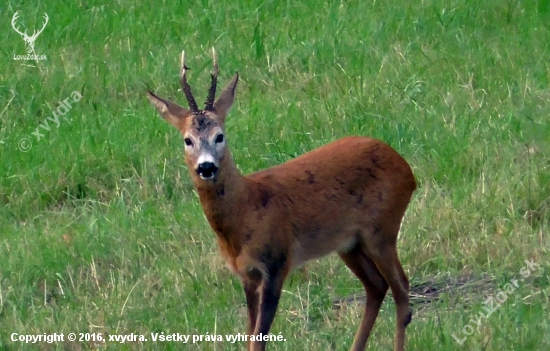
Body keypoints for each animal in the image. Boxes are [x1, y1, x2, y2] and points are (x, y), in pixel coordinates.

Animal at [147, 49, 418, 351]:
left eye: (220, 136)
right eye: (187, 140)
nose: (207, 167)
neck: (246, 210)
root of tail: (407, 170)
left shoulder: (276, 263)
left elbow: (259, 339)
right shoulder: (247, 274)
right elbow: (249, 336)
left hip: (382, 228)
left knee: (401, 288)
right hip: (350, 244)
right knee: (377, 286)